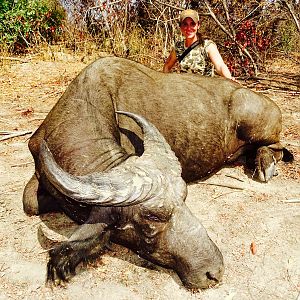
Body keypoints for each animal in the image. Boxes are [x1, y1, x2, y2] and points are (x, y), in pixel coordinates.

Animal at [22, 56, 290, 288]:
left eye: (184, 199)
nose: (214, 272)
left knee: (277, 147)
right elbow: (30, 204)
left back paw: (264, 164)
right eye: (152, 217)